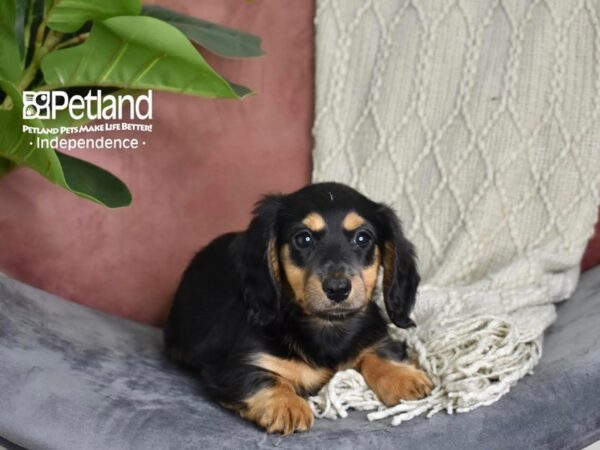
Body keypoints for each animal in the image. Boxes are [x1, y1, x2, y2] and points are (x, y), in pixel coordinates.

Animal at [165, 182, 432, 432]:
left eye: (363, 238)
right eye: (304, 238)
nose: (337, 288)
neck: (327, 328)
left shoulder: (373, 337)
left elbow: (379, 351)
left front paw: (403, 376)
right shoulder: (230, 368)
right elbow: (263, 377)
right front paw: (286, 404)